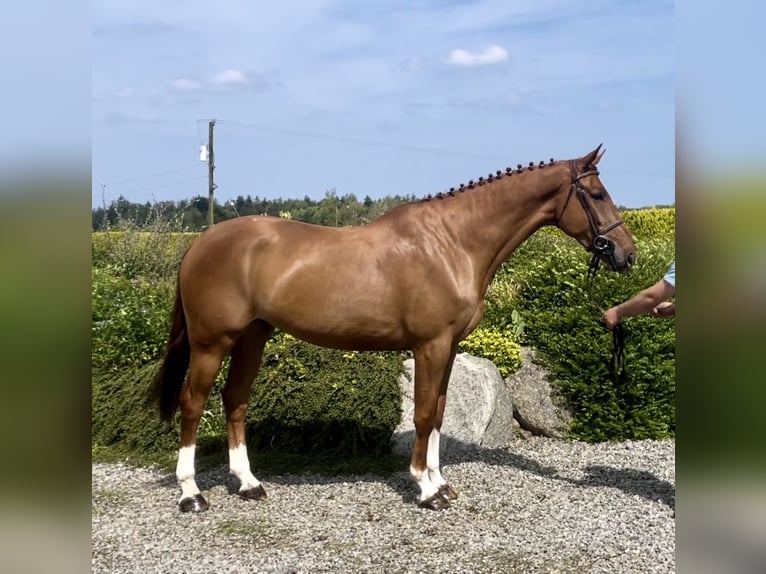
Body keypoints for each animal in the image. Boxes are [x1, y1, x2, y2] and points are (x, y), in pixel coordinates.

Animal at [150, 144, 636, 512]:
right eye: (596, 194)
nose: (626, 253)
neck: (452, 243)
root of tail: (201, 242)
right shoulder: (430, 345)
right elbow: (421, 414)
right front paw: (425, 489)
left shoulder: (449, 347)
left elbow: (438, 412)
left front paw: (441, 483)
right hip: (212, 343)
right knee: (193, 404)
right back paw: (192, 494)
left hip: (253, 336)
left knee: (235, 400)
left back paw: (249, 484)